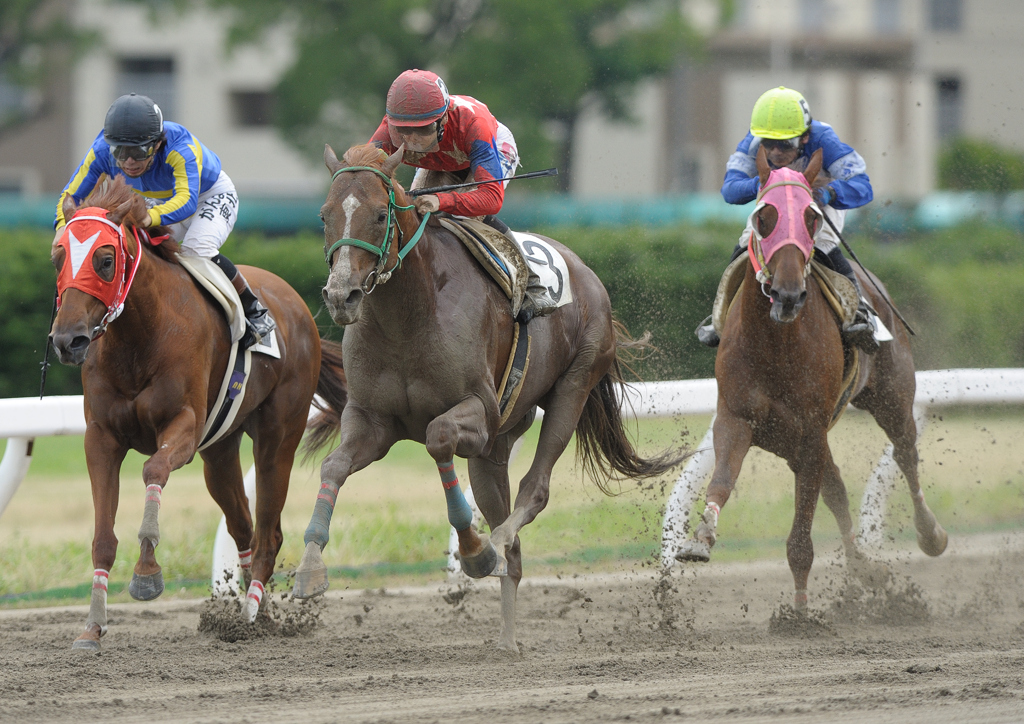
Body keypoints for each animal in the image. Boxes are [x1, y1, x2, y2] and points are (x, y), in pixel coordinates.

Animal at [49, 177, 347, 650]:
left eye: (105, 259)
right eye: (58, 256)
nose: (67, 340)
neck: (138, 338)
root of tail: (296, 303)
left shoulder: (184, 428)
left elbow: (153, 469)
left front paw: (147, 573)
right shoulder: (101, 438)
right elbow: (102, 538)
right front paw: (92, 628)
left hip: (278, 435)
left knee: (269, 532)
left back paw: (250, 614)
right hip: (219, 452)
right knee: (243, 526)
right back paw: (257, 613)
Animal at [291, 143, 685, 653]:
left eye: (380, 215)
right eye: (324, 215)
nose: (341, 296)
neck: (408, 313)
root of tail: (587, 273)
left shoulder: (479, 412)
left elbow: (438, 436)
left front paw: (475, 550)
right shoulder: (373, 422)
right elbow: (334, 467)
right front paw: (309, 569)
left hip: (573, 384)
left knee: (534, 491)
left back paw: (492, 545)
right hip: (498, 443)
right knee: (512, 551)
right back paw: (507, 637)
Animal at [677, 147, 947, 610]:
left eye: (811, 217)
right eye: (764, 215)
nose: (788, 294)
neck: (775, 342)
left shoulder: (809, 431)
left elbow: (801, 540)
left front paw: (800, 613)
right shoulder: (738, 417)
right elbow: (722, 480)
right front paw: (701, 537)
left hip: (890, 397)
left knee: (906, 454)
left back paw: (930, 534)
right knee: (836, 488)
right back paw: (864, 567)